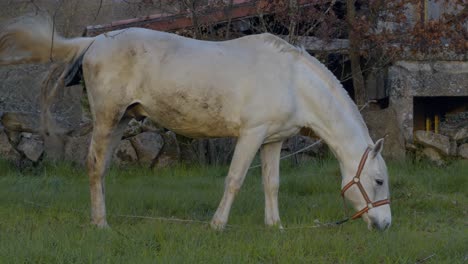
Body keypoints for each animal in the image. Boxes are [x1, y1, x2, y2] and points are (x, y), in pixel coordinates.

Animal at [0, 13, 392, 230]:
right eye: (378, 181)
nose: (385, 224)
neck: (292, 80)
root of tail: (95, 40)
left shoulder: (272, 140)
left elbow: (272, 184)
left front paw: (275, 226)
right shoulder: (251, 135)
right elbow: (235, 180)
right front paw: (217, 225)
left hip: (122, 119)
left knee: (103, 167)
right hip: (108, 118)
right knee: (95, 165)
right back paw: (101, 225)